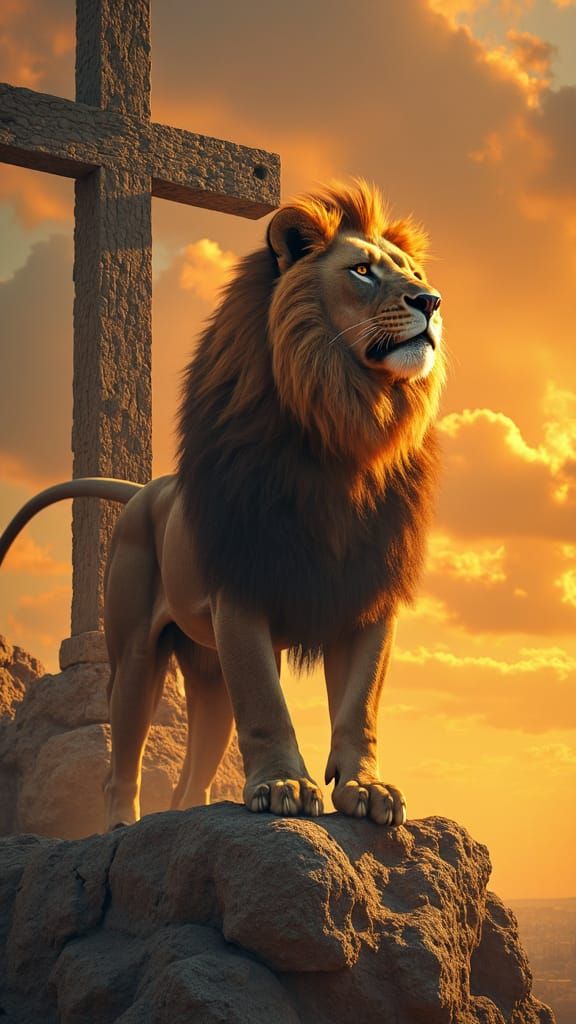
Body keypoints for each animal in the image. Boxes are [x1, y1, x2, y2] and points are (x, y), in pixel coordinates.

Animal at [0, 180, 445, 830]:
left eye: (413, 273)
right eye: (361, 271)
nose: (431, 301)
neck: (348, 430)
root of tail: (147, 490)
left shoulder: (369, 595)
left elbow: (359, 704)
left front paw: (366, 789)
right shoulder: (240, 592)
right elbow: (265, 701)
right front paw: (284, 785)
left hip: (208, 670)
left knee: (193, 779)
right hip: (134, 655)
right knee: (120, 759)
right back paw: (122, 828)